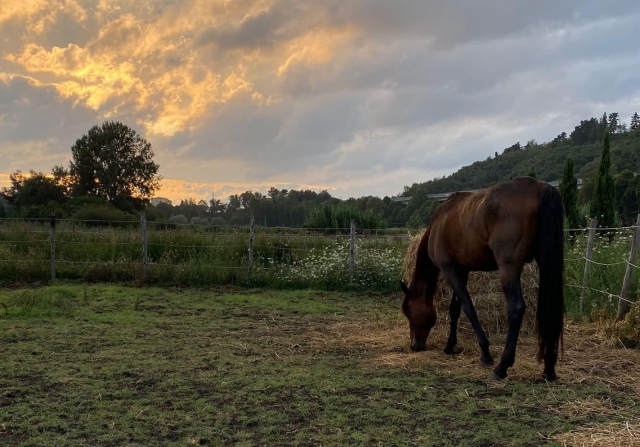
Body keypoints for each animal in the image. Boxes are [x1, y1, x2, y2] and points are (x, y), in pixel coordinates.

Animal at [400, 177, 564, 381]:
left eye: (408, 312)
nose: (414, 345)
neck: (440, 221)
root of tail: (540, 187)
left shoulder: (449, 270)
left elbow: (468, 308)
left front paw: (485, 353)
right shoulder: (461, 270)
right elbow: (455, 309)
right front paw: (449, 346)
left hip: (509, 268)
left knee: (516, 309)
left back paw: (502, 367)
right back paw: (549, 368)